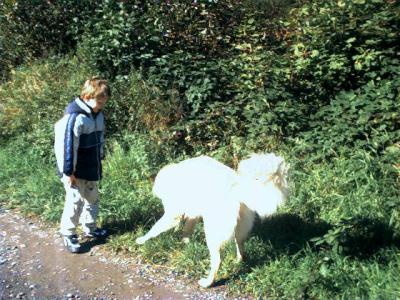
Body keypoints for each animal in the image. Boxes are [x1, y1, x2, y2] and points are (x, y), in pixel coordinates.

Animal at [136, 154, 290, 288]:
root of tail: (237, 188)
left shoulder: (174, 214)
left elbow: (156, 228)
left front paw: (142, 239)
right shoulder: (193, 214)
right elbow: (187, 230)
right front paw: (185, 243)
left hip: (212, 233)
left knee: (217, 261)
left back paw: (208, 282)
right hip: (239, 229)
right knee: (240, 245)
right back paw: (238, 261)